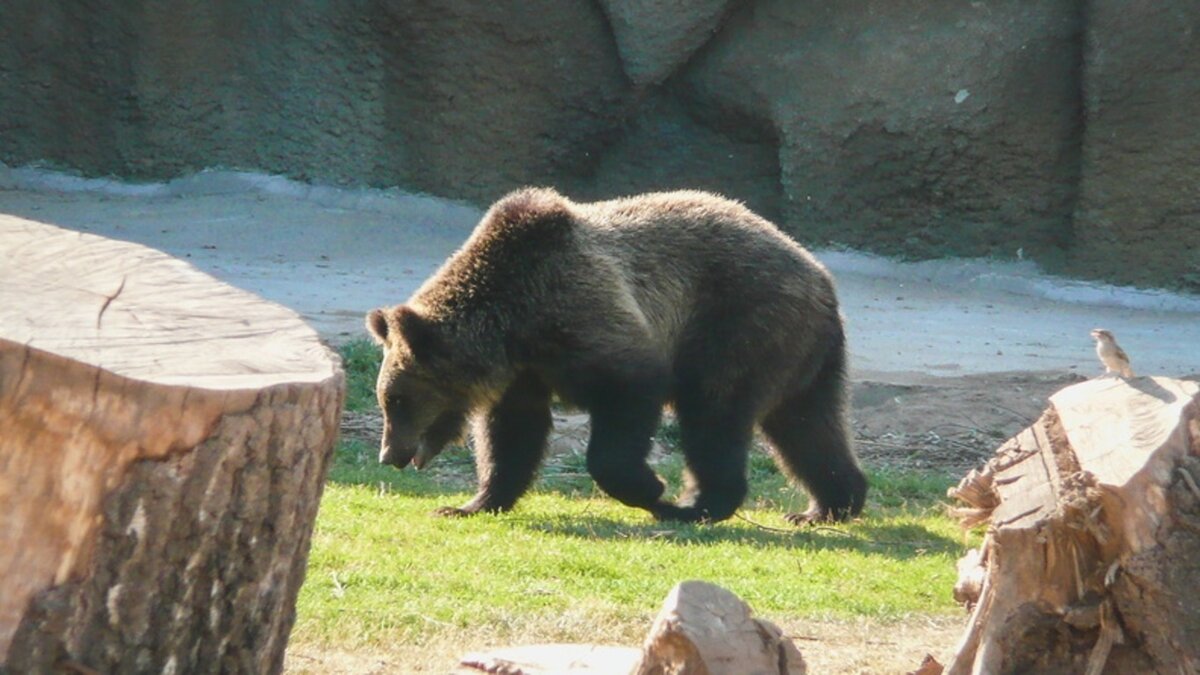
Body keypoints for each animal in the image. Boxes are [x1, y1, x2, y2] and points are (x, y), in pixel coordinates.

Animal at [360, 186, 868, 523]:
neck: (513, 322)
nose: (389, 454)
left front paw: (651, 488)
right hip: (803, 356)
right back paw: (829, 505)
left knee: (714, 412)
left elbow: (629, 395)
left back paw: (698, 506)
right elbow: (512, 434)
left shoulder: (585, 317)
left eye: (397, 400)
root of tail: (821, 278)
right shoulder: (525, 371)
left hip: (739, 323)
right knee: (806, 426)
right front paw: (469, 503)